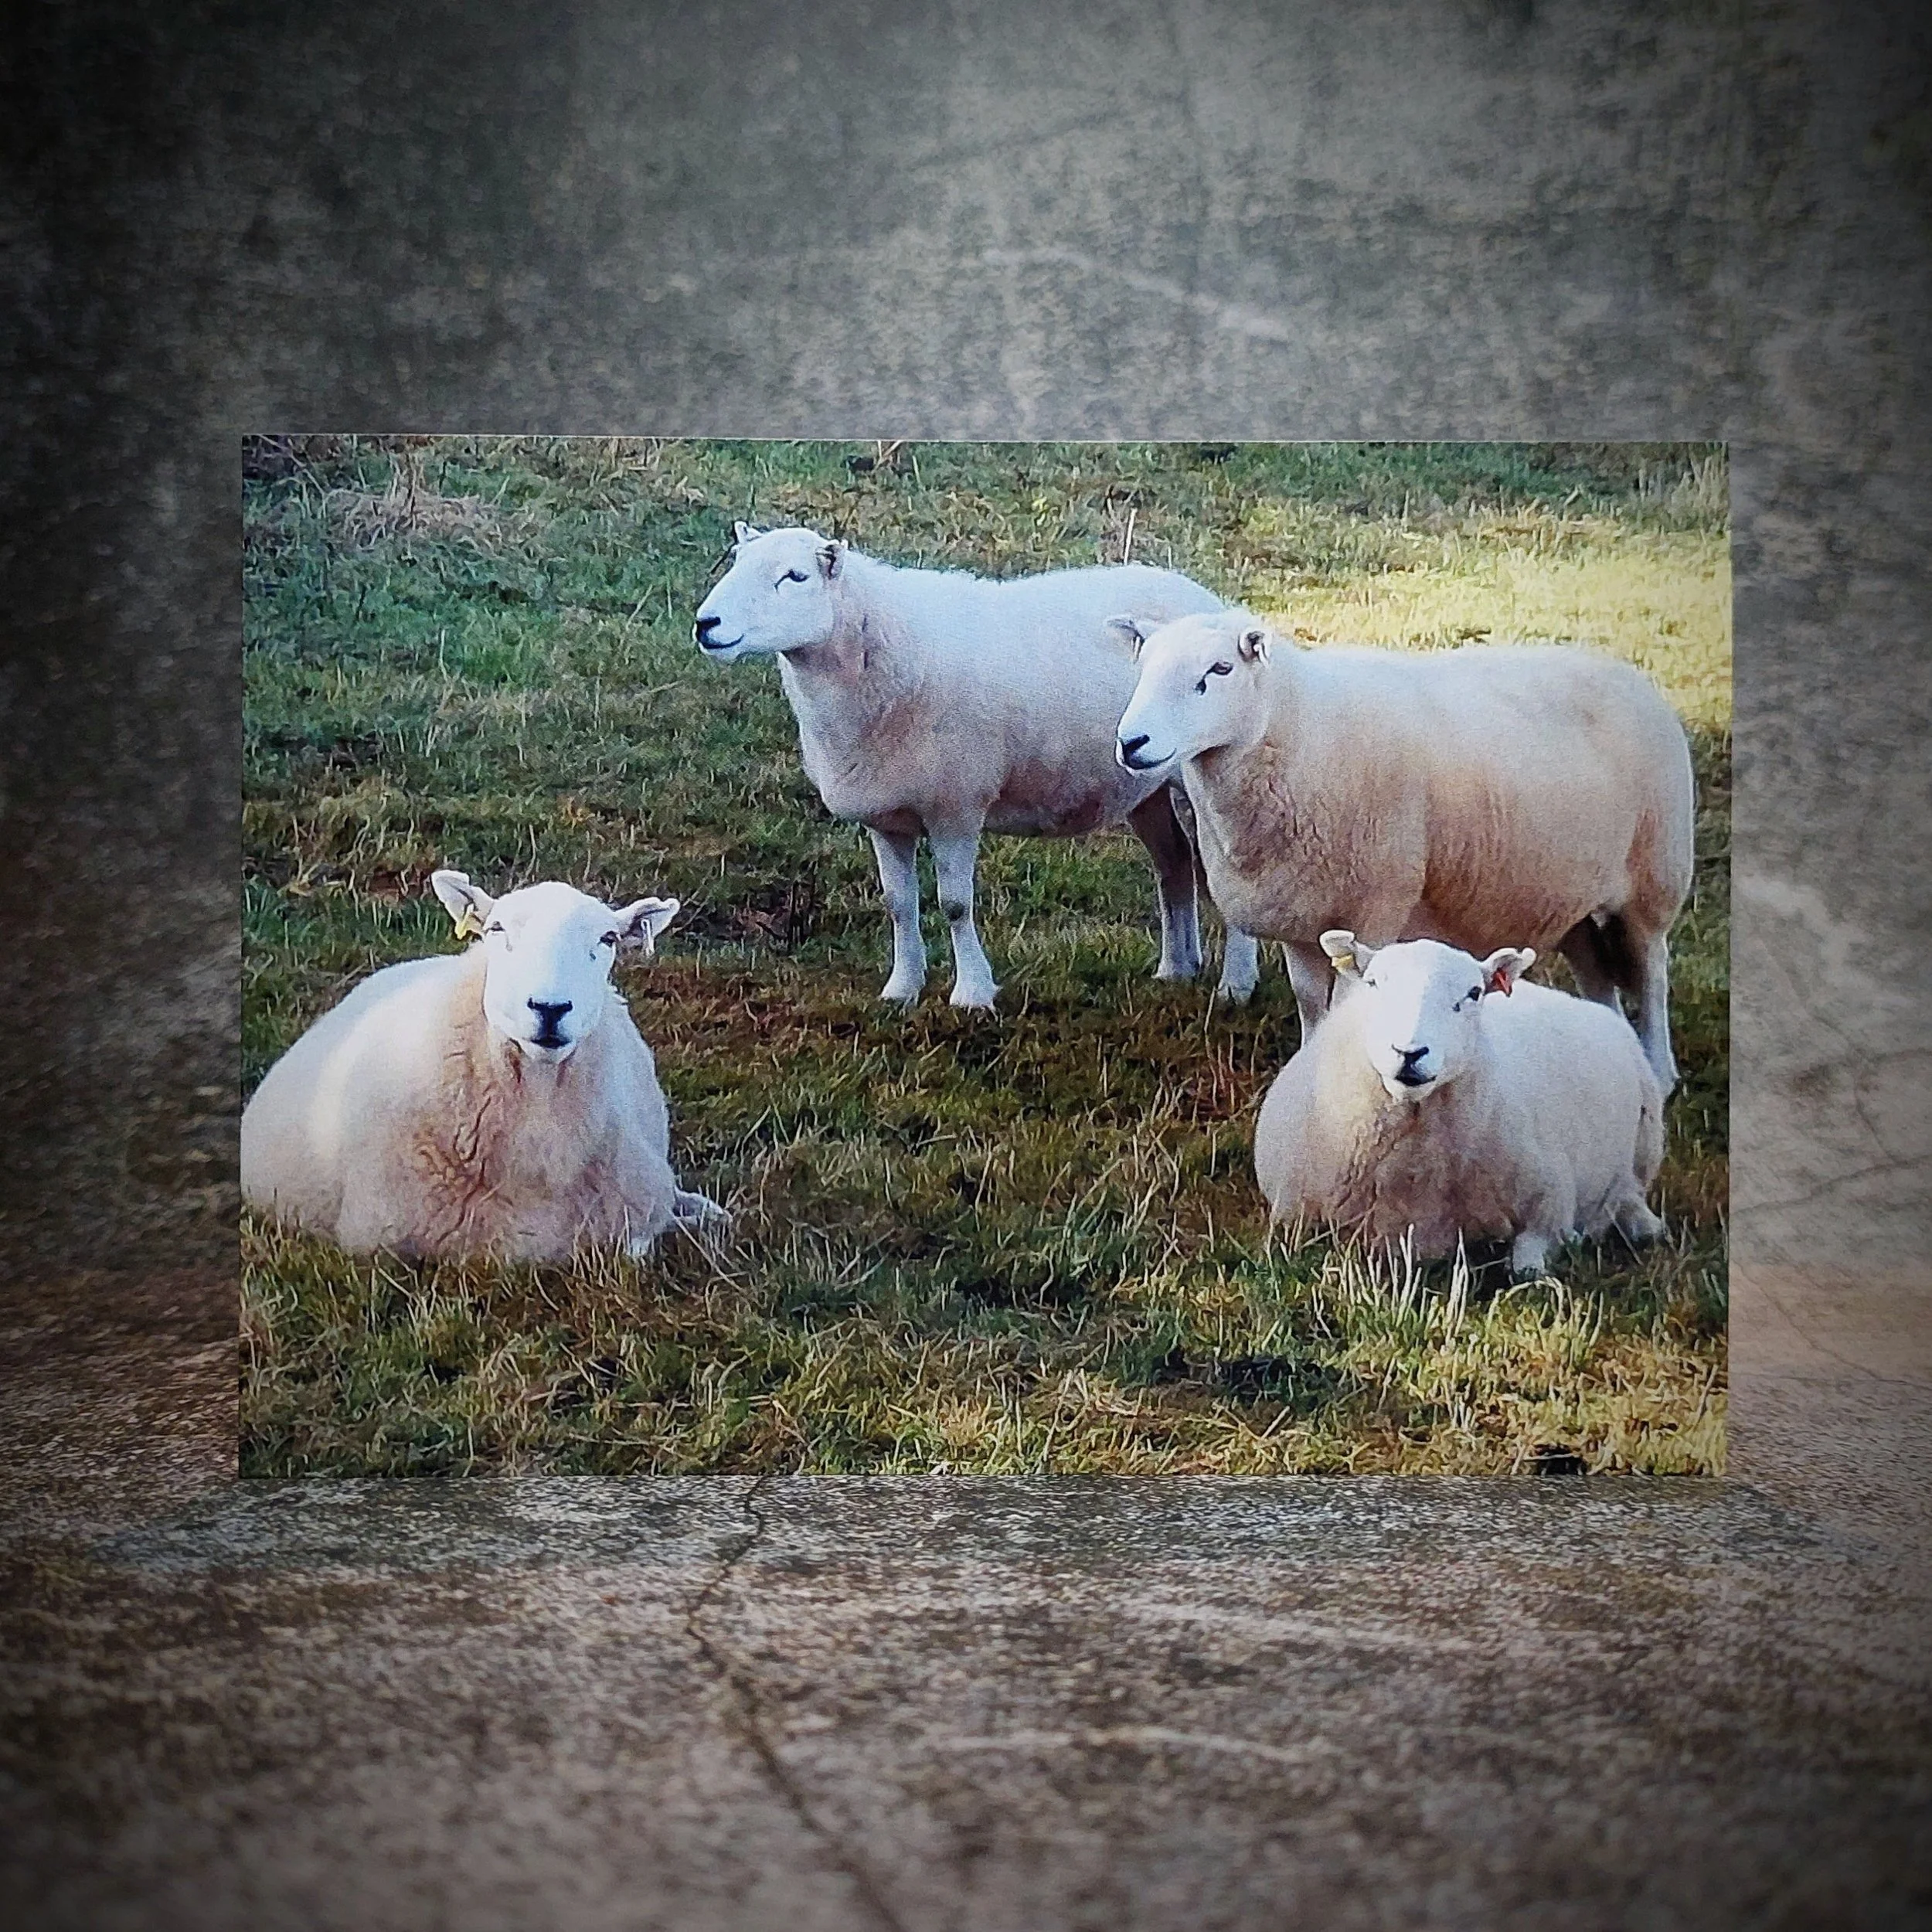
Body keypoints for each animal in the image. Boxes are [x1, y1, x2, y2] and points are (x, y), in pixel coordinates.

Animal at [693, 522, 1261, 1008]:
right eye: (736, 563)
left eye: (795, 577)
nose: (706, 625)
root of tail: (1205, 601)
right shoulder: (885, 814)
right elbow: (898, 904)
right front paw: (901, 989)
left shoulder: (956, 805)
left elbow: (954, 903)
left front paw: (972, 993)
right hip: (1145, 784)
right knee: (1174, 864)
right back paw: (1177, 969)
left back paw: (1236, 984)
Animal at [1111, 609, 1695, 1089]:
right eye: (1142, 668)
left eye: (1219, 670)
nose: (1131, 743)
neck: (1299, 728)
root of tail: (1630, 674)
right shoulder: (1302, 915)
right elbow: (1310, 1002)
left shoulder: (1376, 904)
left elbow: (1347, 1001)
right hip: (1567, 895)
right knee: (1597, 972)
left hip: (1654, 876)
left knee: (1652, 973)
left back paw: (1659, 1072)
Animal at [1253, 932, 1667, 1279]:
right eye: (1372, 983)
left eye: (1474, 993)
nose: (1410, 1053)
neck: (1415, 1170)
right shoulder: (1295, 1220)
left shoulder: (1549, 1206)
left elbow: (1527, 1267)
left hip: (1646, 1143)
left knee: (1631, 1194)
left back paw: (1645, 1228)